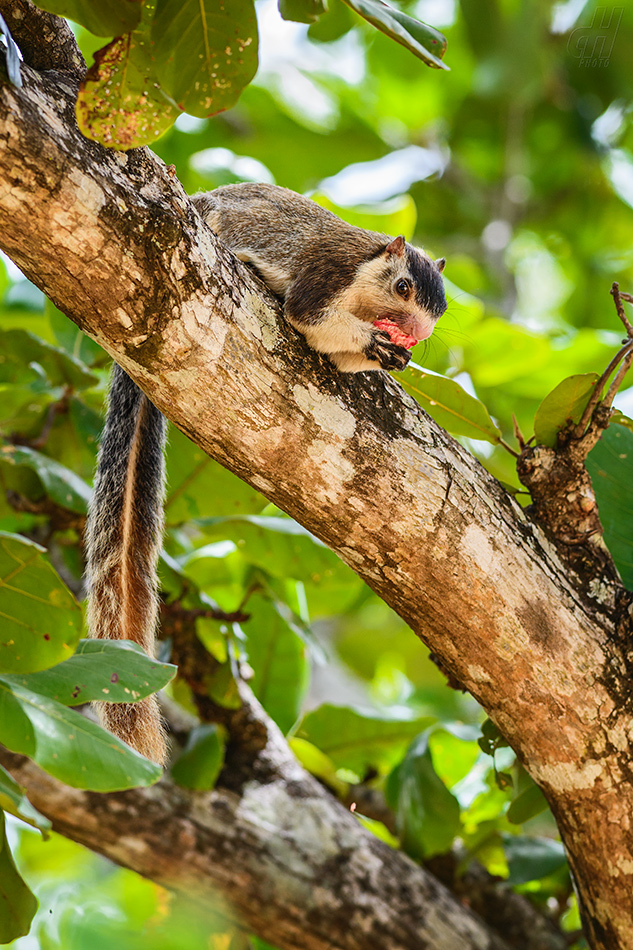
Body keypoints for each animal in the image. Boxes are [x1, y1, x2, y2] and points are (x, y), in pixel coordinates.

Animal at [86, 184, 446, 768]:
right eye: (403, 287)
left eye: (439, 310)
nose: (413, 334)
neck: (365, 282)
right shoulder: (325, 273)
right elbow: (308, 315)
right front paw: (373, 341)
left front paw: (390, 357)